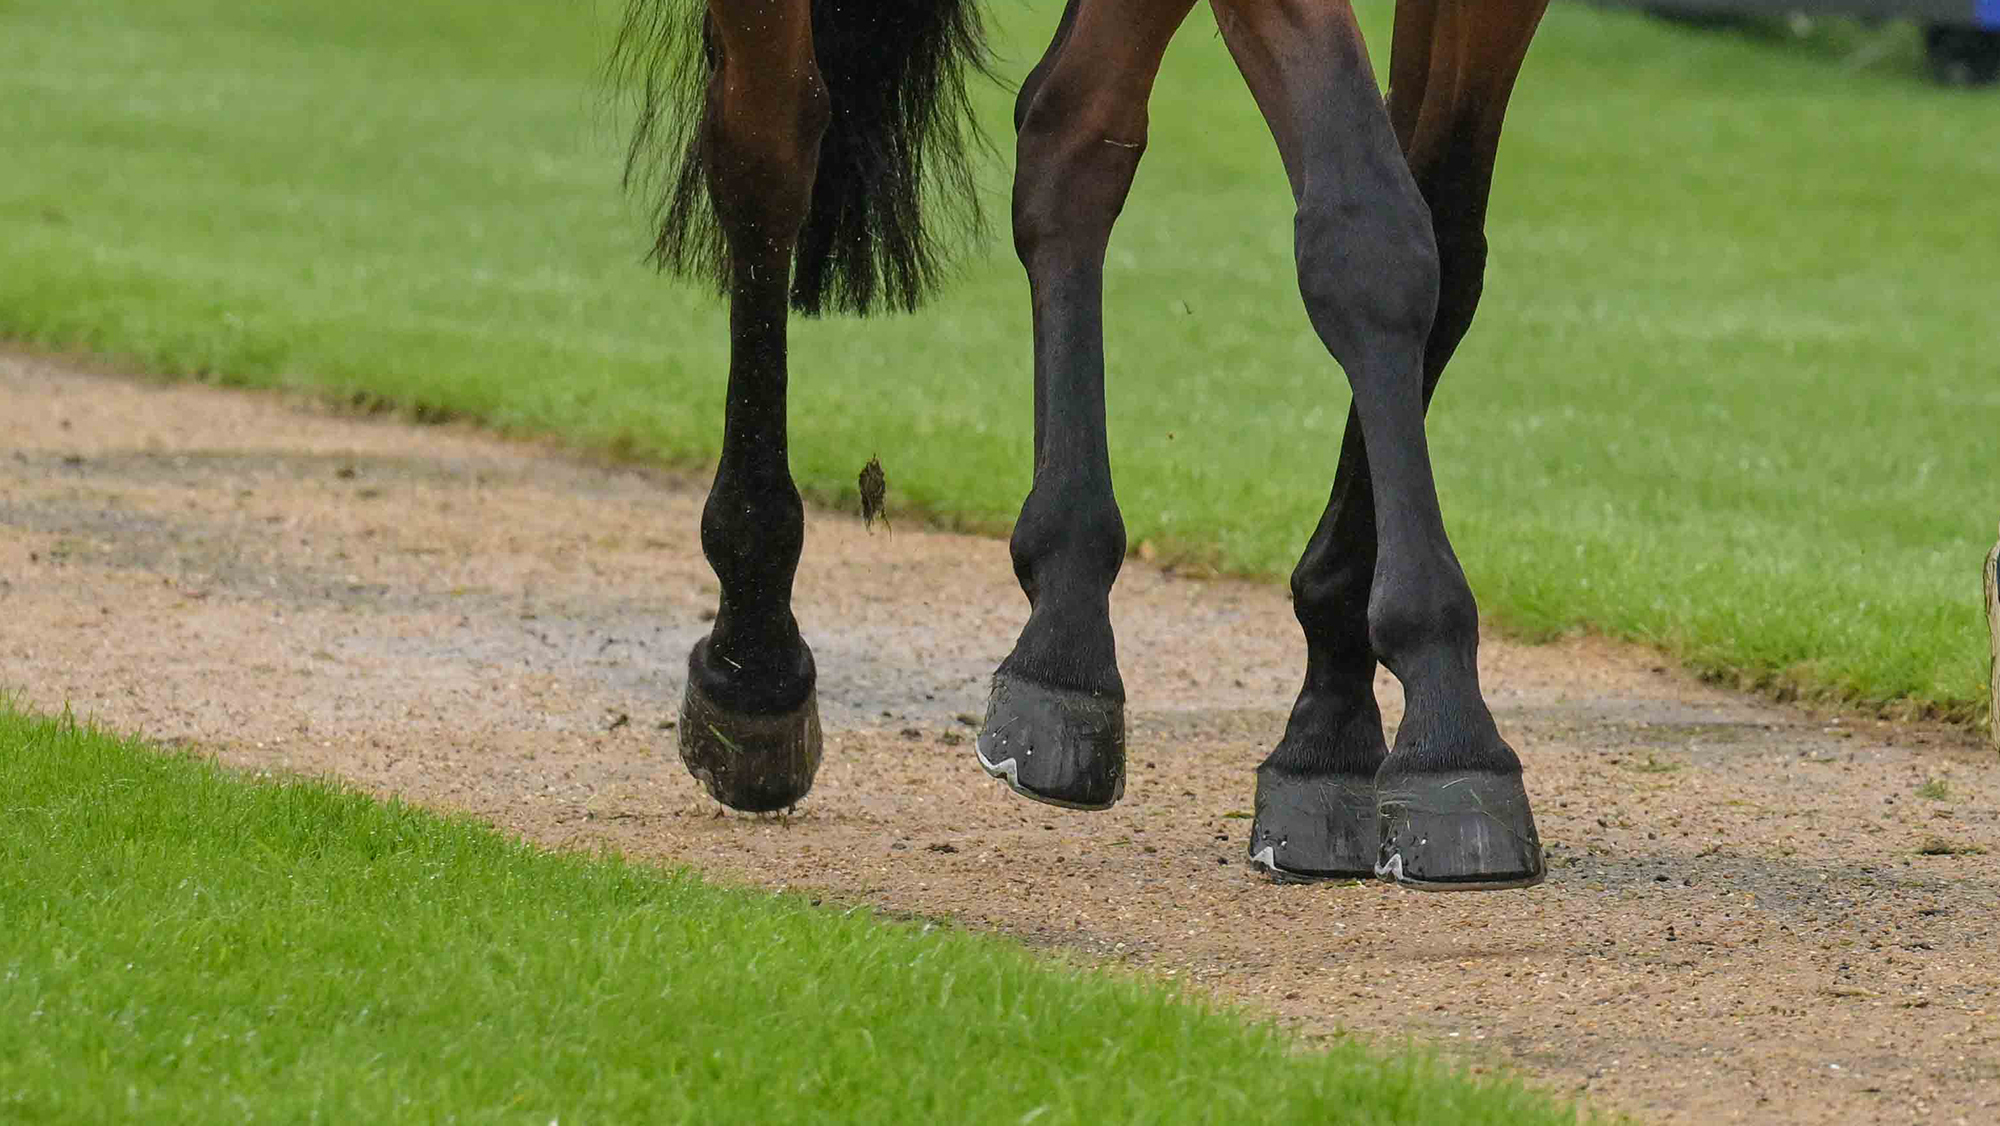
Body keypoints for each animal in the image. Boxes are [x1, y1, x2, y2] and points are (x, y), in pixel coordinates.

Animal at [612, 0, 1551, 891]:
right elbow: (1368, 238)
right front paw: (1447, 731)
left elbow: (1445, 246)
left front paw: (1335, 720)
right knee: (768, 142)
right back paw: (758, 651)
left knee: (1071, 131)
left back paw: (1063, 644)